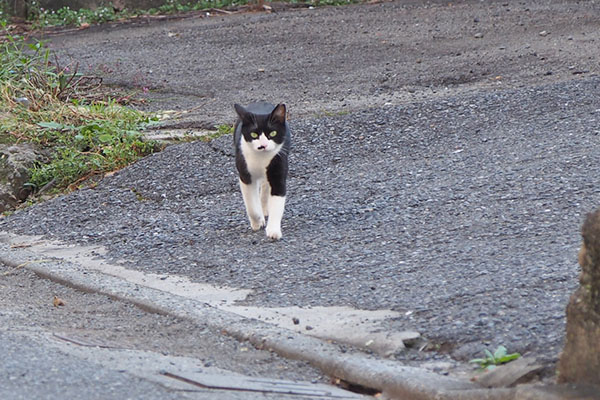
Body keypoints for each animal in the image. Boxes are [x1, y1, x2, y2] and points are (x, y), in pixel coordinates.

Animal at [234, 103, 290, 241]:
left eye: (273, 133)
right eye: (254, 134)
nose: (263, 145)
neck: (261, 159)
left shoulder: (279, 168)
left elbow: (277, 202)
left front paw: (274, 231)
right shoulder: (245, 174)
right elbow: (251, 204)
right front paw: (257, 221)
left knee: (265, 186)